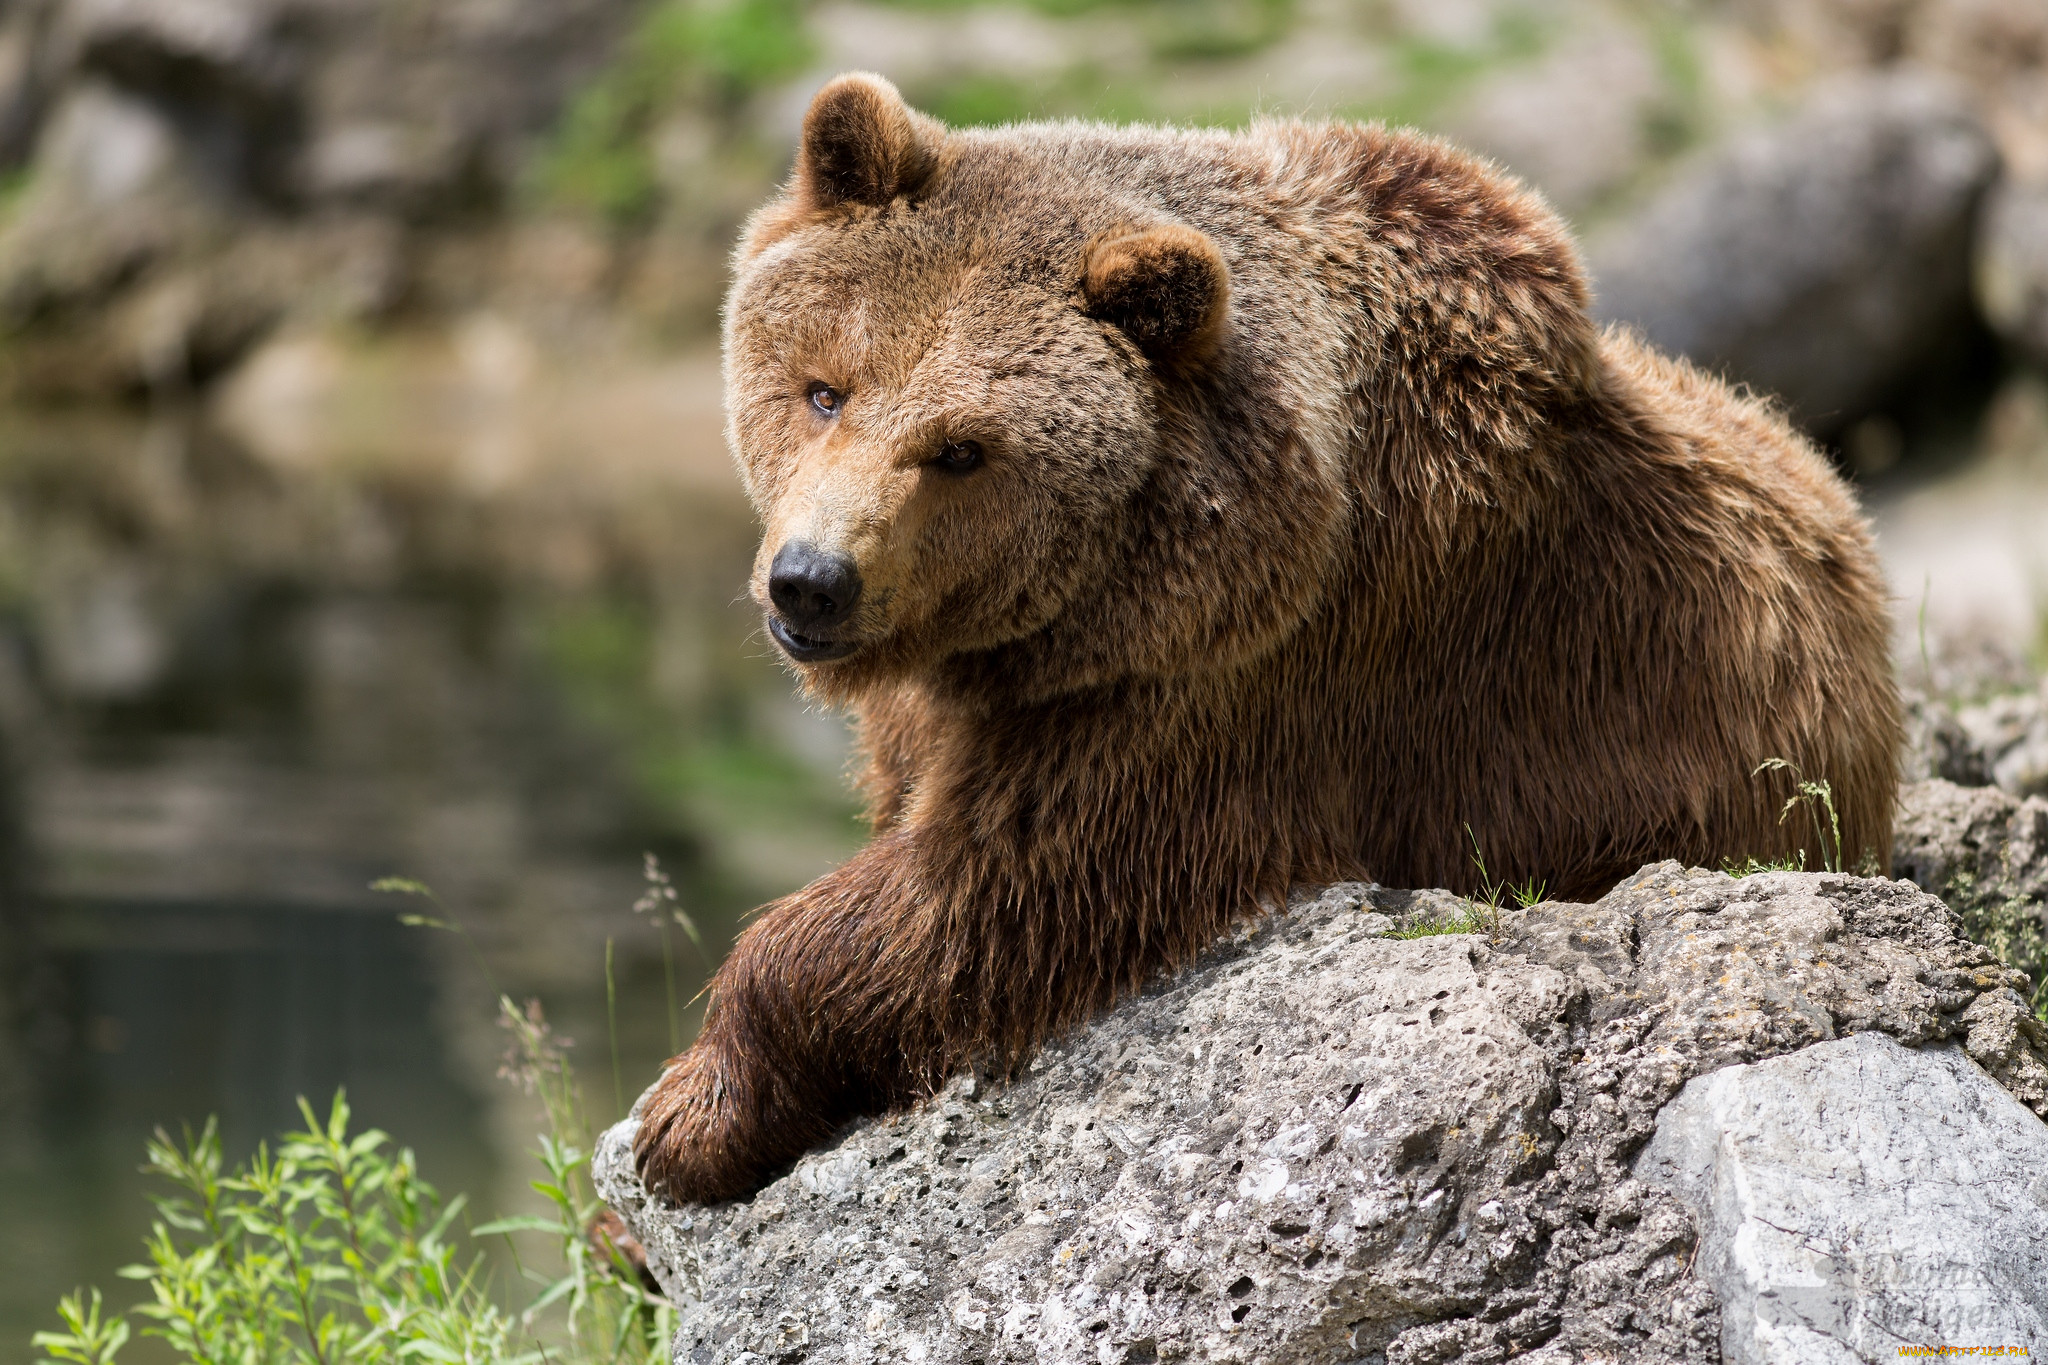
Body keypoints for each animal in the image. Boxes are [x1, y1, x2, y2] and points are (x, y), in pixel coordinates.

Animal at [634, 77, 1900, 1203]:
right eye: (824, 389)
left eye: (960, 449)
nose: (812, 583)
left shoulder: (1238, 685)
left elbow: (990, 895)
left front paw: (688, 1116)